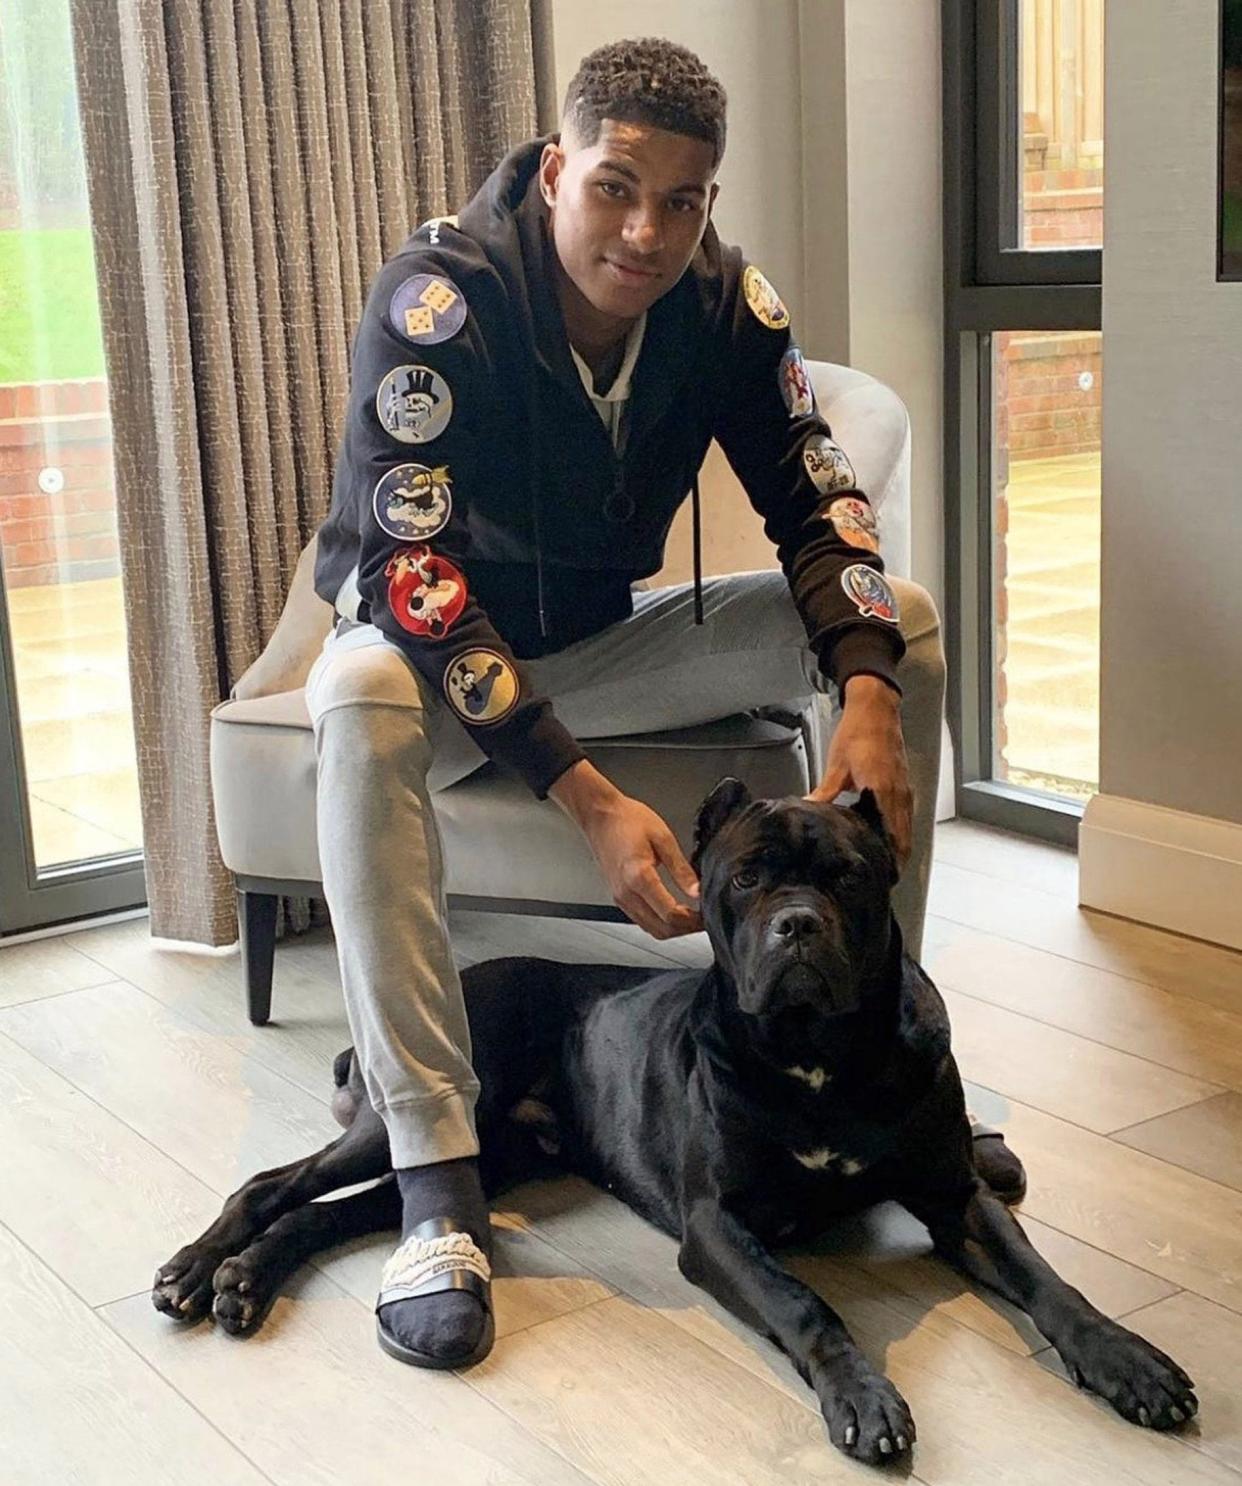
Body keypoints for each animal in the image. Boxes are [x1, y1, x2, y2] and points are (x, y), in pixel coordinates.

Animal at [155, 784, 1194, 1468]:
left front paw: (1127, 1361)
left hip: (495, 1158)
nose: (798, 925)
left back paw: (243, 1282)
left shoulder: (952, 1194)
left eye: (851, 877)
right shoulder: (717, 1227)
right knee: (276, 1183)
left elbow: (1047, 1279)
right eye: (744, 879)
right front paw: (862, 1397)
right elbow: (805, 1304)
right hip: (426, 1110)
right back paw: (197, 1271)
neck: (820, 1058)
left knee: (333, 1210)